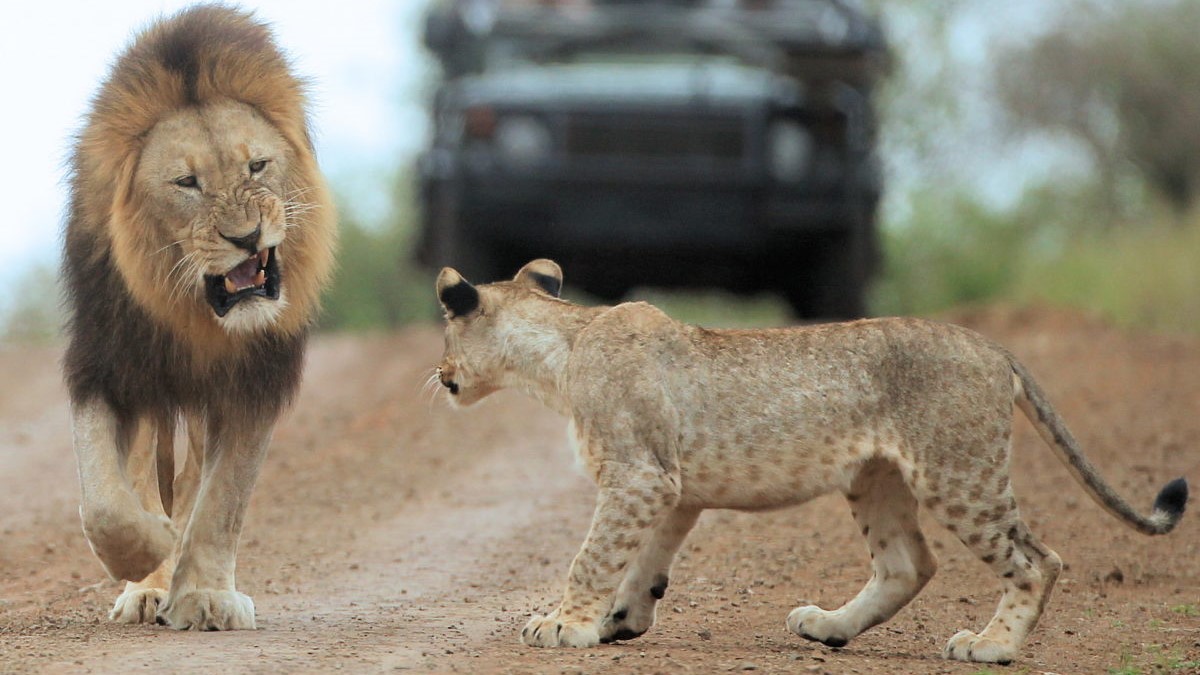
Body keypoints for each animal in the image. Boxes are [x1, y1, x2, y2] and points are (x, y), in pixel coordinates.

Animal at [62, 5, 336, 630]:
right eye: (187, 183)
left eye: (257, 166)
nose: (247, 237)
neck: (198, 318)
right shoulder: (106, 364)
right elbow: (105, 501)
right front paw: (150, 553)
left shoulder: (256, 379)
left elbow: (223, 499)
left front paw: (206, 594)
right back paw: (149, 581)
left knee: (191, 482)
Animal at [433, 259, 1188, 663]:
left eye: (445, 333)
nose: (439, 374)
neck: (557, 354)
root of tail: (993, 346)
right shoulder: (670, 486)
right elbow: (645, 559)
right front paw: (622, 617)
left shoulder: (638, 473)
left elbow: (592, 554)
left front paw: (565, 624)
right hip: (877, 478)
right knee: (907, 563)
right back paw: (829, 627)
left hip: (959, 473)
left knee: (1037, 559)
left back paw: (990, 645)